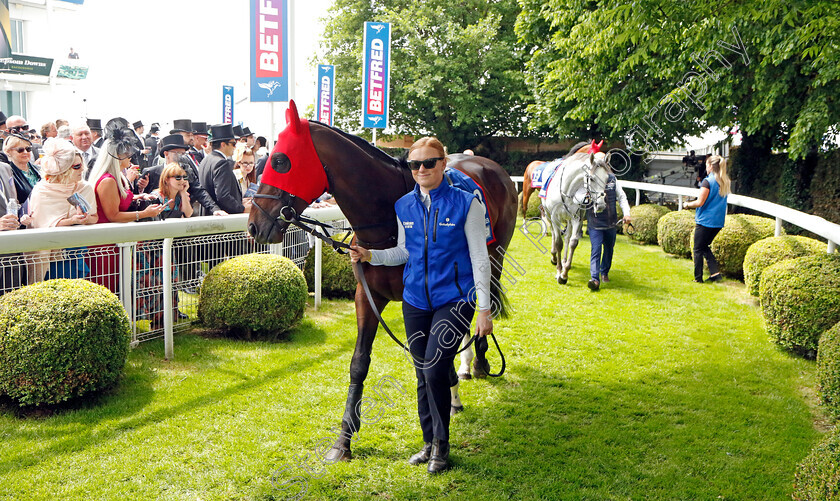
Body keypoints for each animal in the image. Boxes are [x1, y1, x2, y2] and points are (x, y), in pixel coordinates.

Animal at [246, 100, 516, 460]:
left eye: (280, 161)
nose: (254, 225)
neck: (387, 216)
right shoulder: (367, 295)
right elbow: (359, 363)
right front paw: (343, 440)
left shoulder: (417, 301)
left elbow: (427, 358)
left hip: (493, 261)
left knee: (484, 310)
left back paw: (480, 361)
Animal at [540, 150, 608, 284]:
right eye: (592, 179)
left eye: (607, 178)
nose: (601, 204)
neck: (568, 190)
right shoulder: (555, 217)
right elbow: (558, 242)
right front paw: (559, 271)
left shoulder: (577, 218)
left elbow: (573, 242)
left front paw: (564, 273)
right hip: (548, 214)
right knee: (554, 234)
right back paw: (554, 256)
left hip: (569, 219)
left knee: (567, 237)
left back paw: (564, 260)